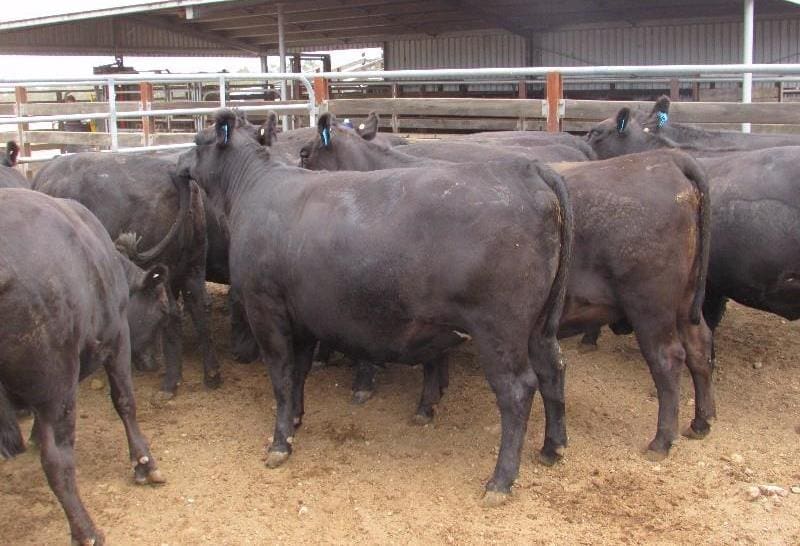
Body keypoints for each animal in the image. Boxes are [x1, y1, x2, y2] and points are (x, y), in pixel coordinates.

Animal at [0, 189, 167, 546]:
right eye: (162, 306)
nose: (157, 361)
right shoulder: (118, 337)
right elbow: (125, 401)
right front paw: (144, 462)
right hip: (57, 380)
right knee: (57, 461)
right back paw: (86, 530)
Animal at [33, 154, 221, 396]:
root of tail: (173, 172)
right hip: (194, 265)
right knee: (199, 309)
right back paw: (211, 375)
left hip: (164, 271)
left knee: (172, 313)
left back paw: (170, 381)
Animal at [177, 108, 574, 504]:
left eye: (197, 141)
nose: (179, 162)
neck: (255, 188)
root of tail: (526, 169)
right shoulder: (302, 317)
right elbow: (299, 373)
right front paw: (295, 420)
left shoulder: (266, 310)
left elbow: (282, 376)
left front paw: (279, 444)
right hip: (539, 327)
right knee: (553, 368)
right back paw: (552, 447)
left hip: (499, 331)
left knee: (517, 390)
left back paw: (500, 480)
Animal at [300, 115, 714, 460]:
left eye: (304, 152)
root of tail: (668, 160)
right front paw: (430, 399)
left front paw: (378, 390)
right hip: (683, 304)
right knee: (699, 347)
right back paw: (700, 422)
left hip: (650, 306)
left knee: (668, 359)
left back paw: (662, 440)